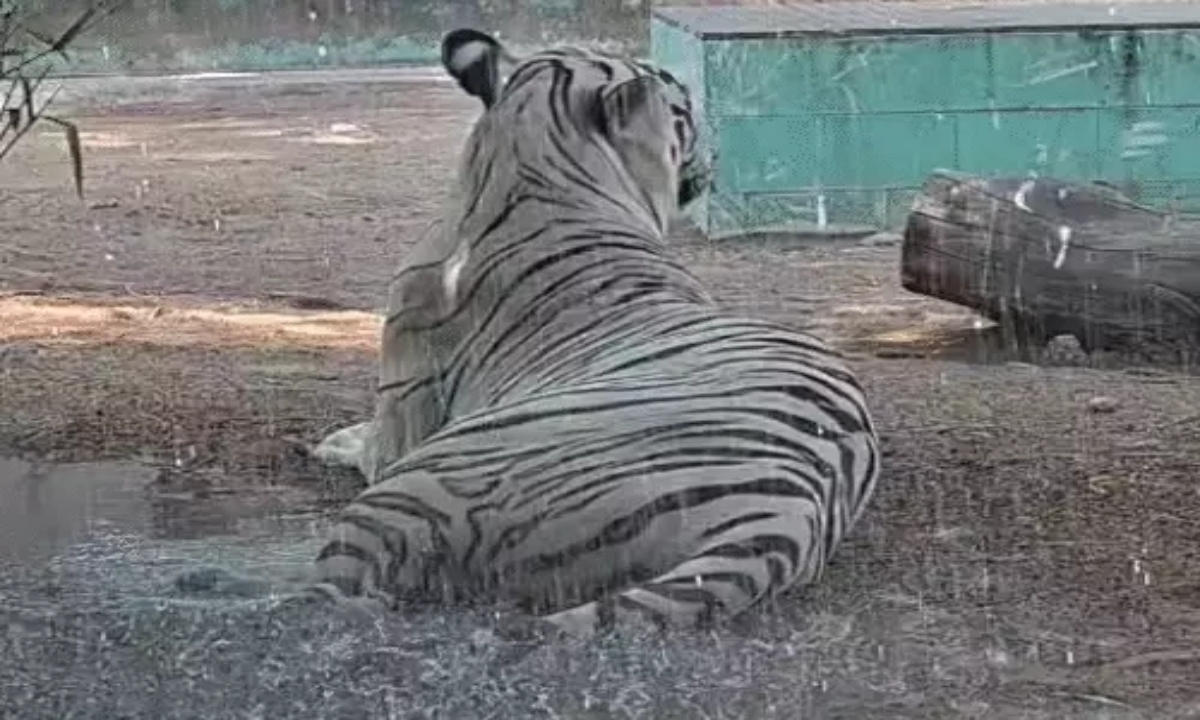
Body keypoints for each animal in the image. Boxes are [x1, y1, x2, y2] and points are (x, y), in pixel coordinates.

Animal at [191, 28, 882, 640]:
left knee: (329, 597)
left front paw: (334, 440)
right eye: (685, 110)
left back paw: (212, 588)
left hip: (415, 485)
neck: (529, 159)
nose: (718, 152)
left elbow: (366, 441)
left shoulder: (403, 410)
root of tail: (787, 512)